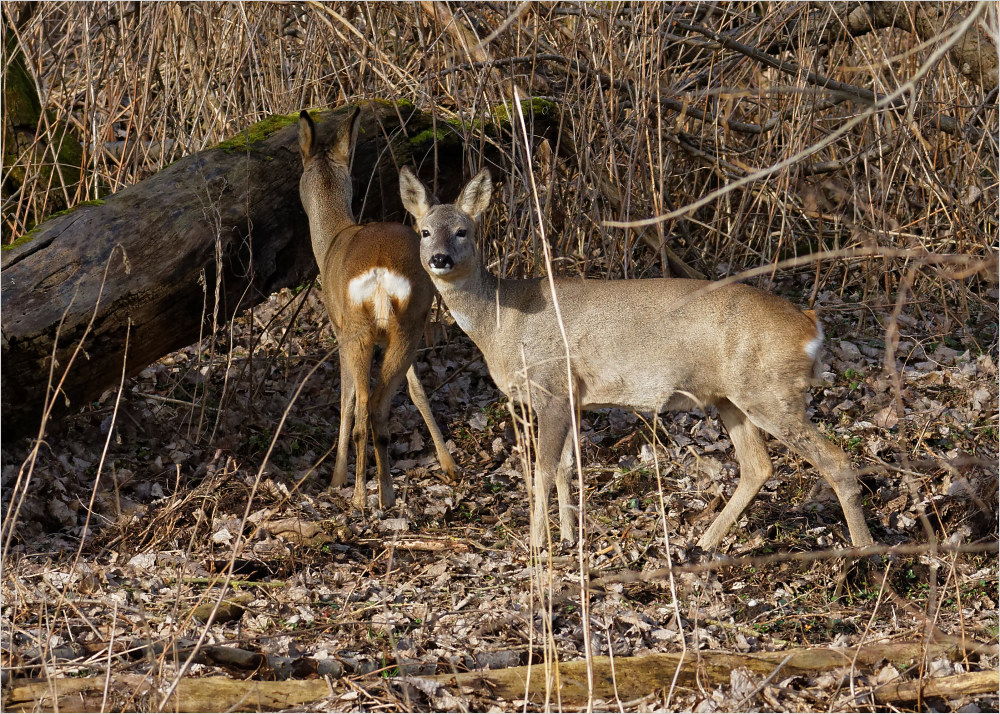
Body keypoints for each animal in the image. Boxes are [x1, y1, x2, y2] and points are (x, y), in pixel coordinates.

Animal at [294, 105, 456, 508]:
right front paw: (448, 464)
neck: (332, 240)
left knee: (367, 402)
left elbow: (346, 399)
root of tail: (381, 271)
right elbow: (417, 390)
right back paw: (389, 490)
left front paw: (337, 478)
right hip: (408, 324)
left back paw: (364, 496)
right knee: (384, 400)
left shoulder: (337, 331)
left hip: (357, 329)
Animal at [398, 164, 876, 548]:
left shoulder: (552, 387)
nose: (439, 258)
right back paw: (702, 544)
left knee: (836, 461)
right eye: (425, 231)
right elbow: (565, 469)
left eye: (463, 230)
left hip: (769, 391)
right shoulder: (573, 397)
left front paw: (537, 547)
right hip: (732, 398)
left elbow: (541, 472)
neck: (503, 322)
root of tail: (811, 325)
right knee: (758, 466)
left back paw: (862, 551)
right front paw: (569, 539)